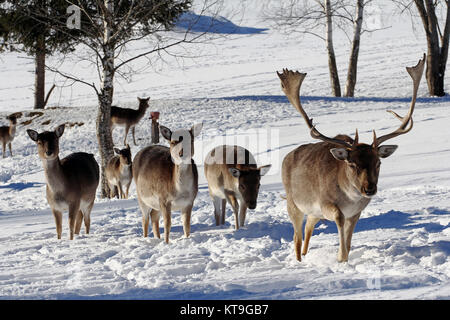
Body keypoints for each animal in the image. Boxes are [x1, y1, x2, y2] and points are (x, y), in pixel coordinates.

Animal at [278, 53, 426, 262]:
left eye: (378, 163)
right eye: (352, 163)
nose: (369, 188)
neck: (350, 197)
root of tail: (286, 157)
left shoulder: (356, 212)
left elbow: (348, 239)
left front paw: (345, 257)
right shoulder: (326, 203)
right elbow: (339, 223)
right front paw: (340, 257)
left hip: (313, 212)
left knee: (308, 228)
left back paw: (306, 255)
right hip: (293, 203)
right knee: (296, 236)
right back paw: (299, 261)